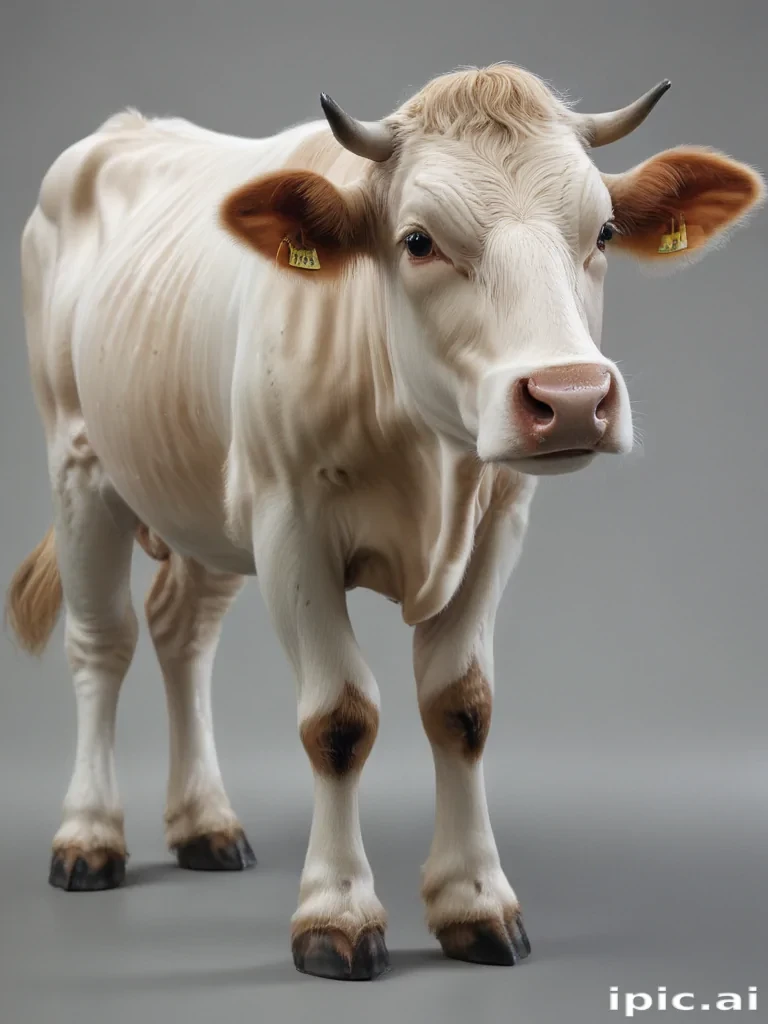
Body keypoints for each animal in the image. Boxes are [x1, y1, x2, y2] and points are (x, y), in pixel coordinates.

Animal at [6, 63, 763, 981]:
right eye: (418, 241)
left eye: (605, 230)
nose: (573, 397)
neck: (426, 454)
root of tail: (124, 129)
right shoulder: (290, 521)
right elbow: (338, 718)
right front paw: (335, 913)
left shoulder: (497, 520)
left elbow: (462, 706)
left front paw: (475, 901)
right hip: (80, 460)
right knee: (102, 643)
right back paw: (88, 835)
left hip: (202, 490)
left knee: (180, 632)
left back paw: (205, 824)